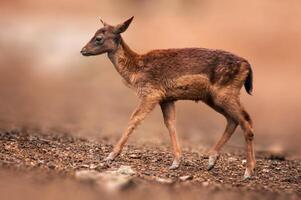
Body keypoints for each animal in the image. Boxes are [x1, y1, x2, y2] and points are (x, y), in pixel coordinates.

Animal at [81, 16, 254, 180]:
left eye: (99, 38)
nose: (83, 50)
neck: (135, 71)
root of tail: (248, 67)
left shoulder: (151, 93)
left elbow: (134, 119)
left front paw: (110, 156)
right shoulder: (167, 98)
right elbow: (170, 123)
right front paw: (176, 162)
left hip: (225, 93)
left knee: (246, 121)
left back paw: (248, 171)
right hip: (213, 98)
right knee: (233, 120)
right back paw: (211, 161)